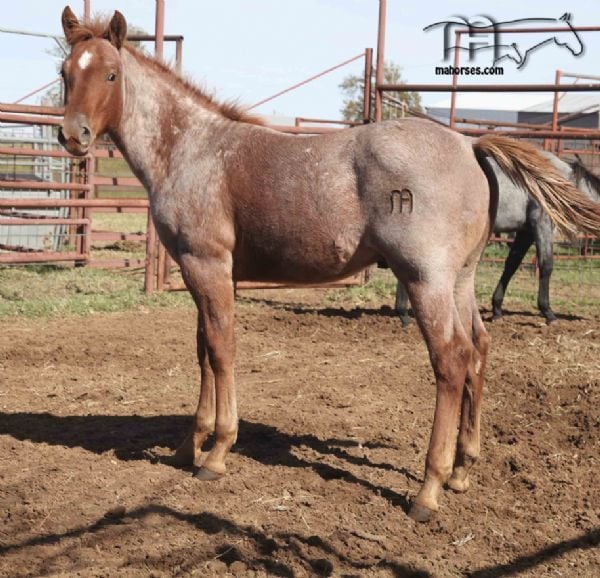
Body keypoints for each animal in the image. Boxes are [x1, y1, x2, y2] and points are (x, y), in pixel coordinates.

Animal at [394, 153, 600, 324]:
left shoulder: (526, 232)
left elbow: (511, 265)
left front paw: (497, 309)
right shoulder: (543, 225)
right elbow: (546, 265)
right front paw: (548, 312)